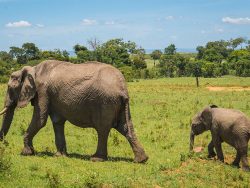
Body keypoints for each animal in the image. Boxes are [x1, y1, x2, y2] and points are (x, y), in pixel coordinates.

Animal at [0, 60, 148, 163]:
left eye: (10, 88)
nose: (4, 143)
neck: (33, 68)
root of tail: (122, 87)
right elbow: (57, 122)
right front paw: (60, 156)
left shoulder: (42, 91)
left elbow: (40, 120)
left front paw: (26, 153)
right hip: (118, 104)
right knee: (125, 128)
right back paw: (141, 160)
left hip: (105, 102)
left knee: (102, 129)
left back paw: (96, 159)